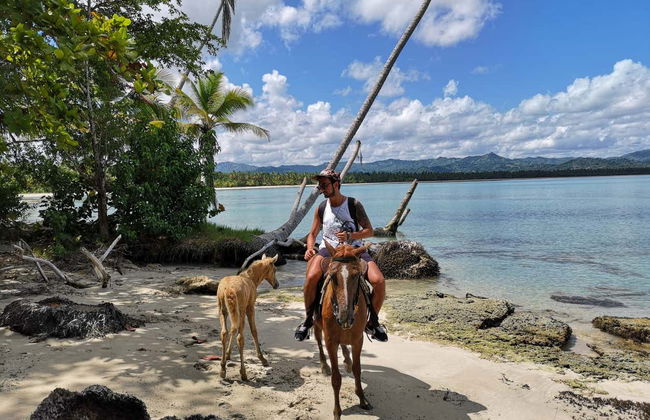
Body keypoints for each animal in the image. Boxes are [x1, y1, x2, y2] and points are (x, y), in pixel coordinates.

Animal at [314, 241, 372, 419]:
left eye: (357, 275)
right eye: (332, 276)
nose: (345, 316)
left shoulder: (358, 340)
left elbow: (357, 370)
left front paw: (362, 399)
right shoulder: (330, 341)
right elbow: (336, 378)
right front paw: (337, 411)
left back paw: (347, 360)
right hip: (316, 325)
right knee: (318, 340)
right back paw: (324, 365)